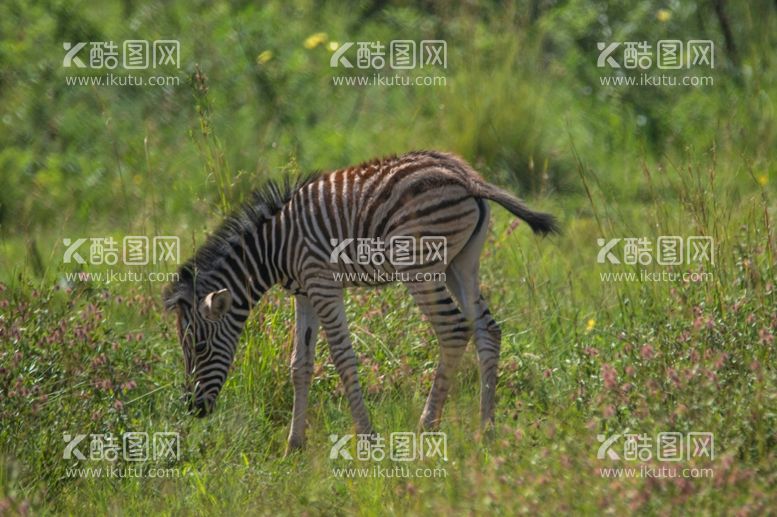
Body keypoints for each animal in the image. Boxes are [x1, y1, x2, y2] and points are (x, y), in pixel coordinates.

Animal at [162, 150, 556, 452]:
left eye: (198, 347)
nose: (193, 409)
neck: (273, 246)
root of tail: (466, 177)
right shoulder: (304, 293)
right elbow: (300, 365)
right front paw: (294, 445)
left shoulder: (323, 284)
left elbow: (343, 359)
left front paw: (368, 439)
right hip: (460, 265)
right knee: (488, 330)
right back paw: (485, 429)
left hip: (419, 267)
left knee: (455, 330)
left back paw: (426, 427)